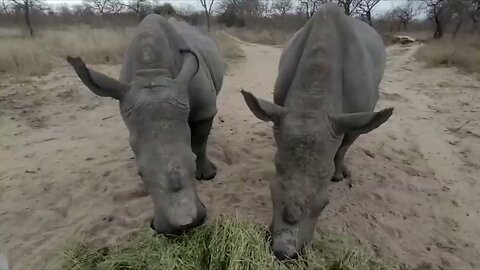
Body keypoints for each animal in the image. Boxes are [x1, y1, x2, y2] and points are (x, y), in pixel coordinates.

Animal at [68, 14, 225, 234]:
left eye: (192, 162)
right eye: (140, 174)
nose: (184, 226)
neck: (152, 74)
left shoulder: (205, 109)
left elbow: (200, 141)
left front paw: (207, 176)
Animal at [242, 2, 392, 260]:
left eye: (325, 204)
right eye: (270, 189)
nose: (284, 251)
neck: (313, 100)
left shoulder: (356, 117)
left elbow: (343, 146)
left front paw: (338, 176)